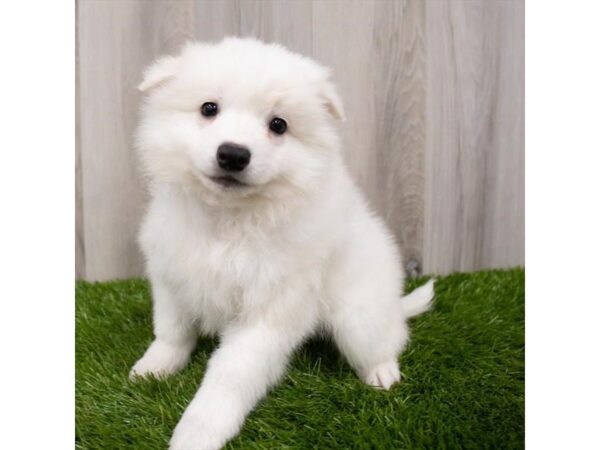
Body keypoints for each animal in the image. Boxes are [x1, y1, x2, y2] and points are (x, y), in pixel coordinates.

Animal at [131, 37, 434, 450]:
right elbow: (172, 332)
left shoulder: (269, 311)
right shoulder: (172, 277)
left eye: (278, 125)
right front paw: (155, 366)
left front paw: (197, 431)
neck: (228, 220)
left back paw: (382, 372)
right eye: (209, 108)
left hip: (359, 315)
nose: (233, 154)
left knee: (387, 339)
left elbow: (228, 378)